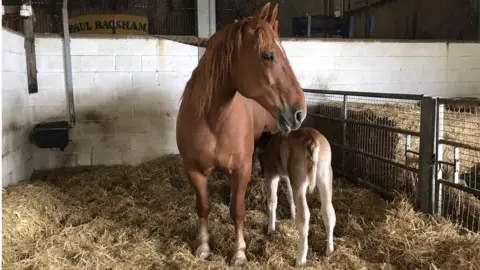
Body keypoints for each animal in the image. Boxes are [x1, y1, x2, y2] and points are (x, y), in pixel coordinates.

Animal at [256, 127, 336, 266]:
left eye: (261, 161)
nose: (261, 173)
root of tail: (311, 140)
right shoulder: (289, 176)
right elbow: (289, 196)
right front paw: (292, 216)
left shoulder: (272, 174)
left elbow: (272, 201)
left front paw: (271, 229)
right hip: (324, 176)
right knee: (329, 212)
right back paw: (329, 251)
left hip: (299, 181)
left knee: (304, 215)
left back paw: (300, 260)